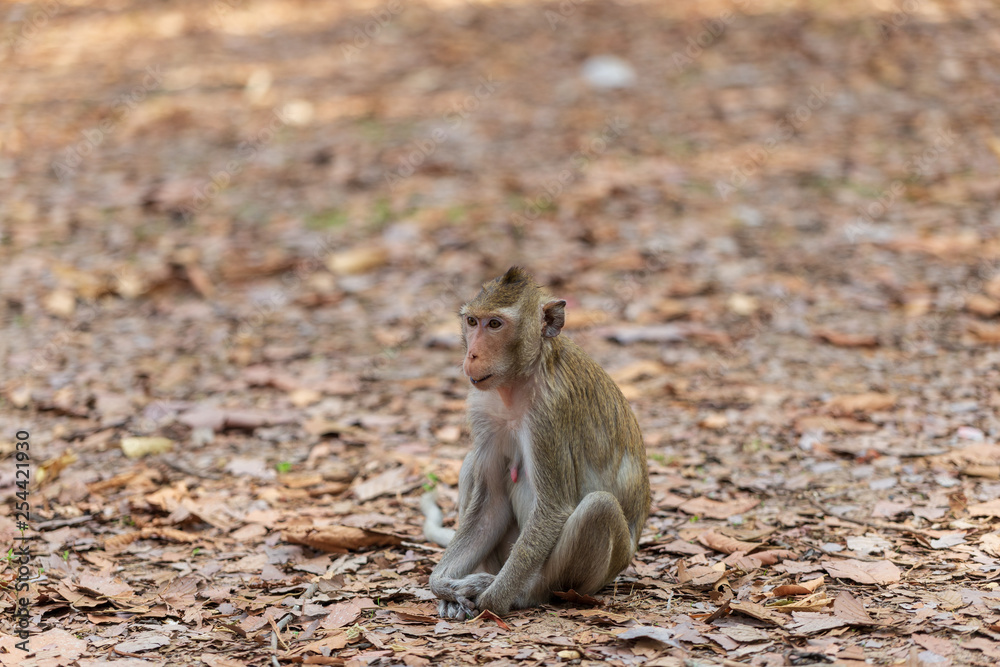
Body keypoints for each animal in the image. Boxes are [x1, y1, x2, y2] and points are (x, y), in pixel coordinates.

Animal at [423, 267, 650, 619]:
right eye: (472, 321)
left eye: (495, 324)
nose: (472, 354)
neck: (520, 380)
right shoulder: (482, 409)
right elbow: (489, 505)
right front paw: (443, 586)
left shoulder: (549, 414)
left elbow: (553, 508)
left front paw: (491, 599)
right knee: (471, 464)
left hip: (586, 577)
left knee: (598, 507)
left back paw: (524, 594)